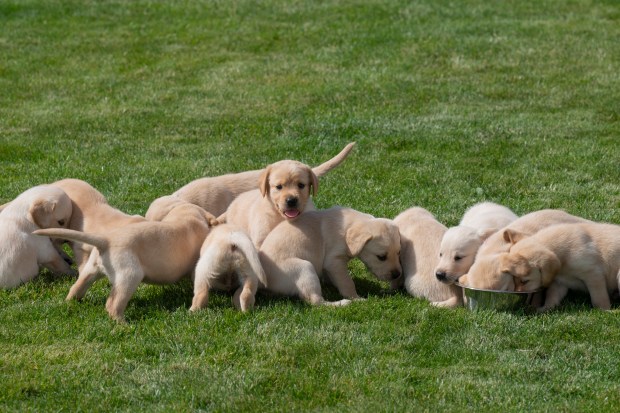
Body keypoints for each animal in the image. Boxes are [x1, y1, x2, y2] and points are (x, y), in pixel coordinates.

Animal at [256, 208, 402, 304]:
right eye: (381, 257)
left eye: (398, 253)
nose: (397, 275)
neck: (348, 227)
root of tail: (263, 284)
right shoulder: (334, 261)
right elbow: (347, 282)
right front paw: (356, 298)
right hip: (305, 268)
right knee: (316, 301)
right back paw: (342, 303)